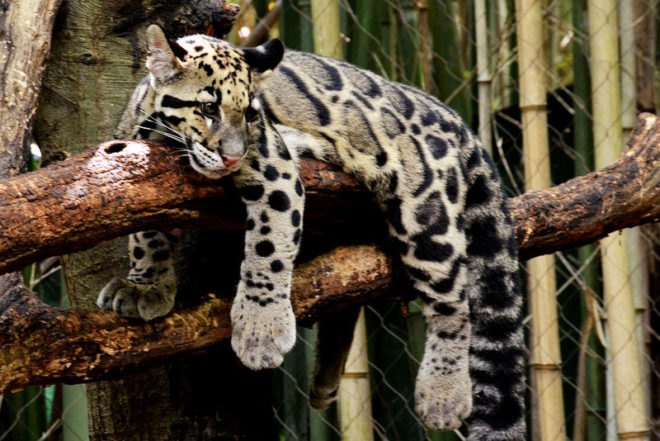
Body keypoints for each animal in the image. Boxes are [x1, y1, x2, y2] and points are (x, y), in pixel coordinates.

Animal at [97, 24, 525, 440]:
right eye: (208, 107)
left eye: (251, 115)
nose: (233, 155)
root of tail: (452, 116)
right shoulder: (142, 171)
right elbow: (147, 233)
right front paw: (146, 285)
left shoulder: (274, 169)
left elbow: (267, 249)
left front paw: (261, 330)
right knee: (347, 291)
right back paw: (326, 381)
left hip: (425, 213)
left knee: (453, 304)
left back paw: (444, 393)